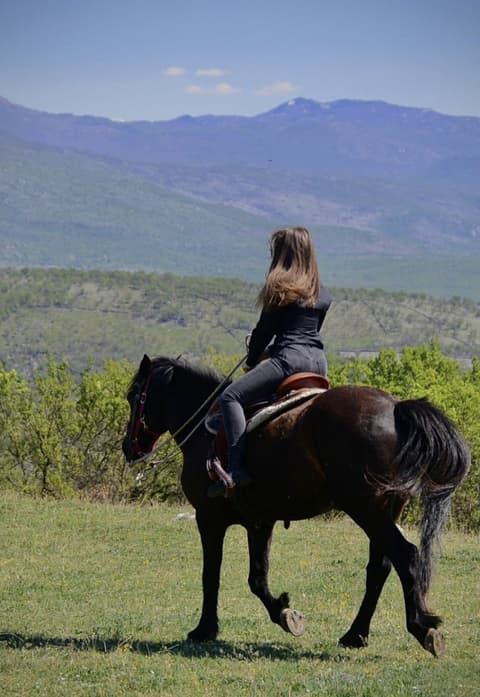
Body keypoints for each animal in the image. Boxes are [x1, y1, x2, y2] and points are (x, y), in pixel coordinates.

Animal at [122, 354, 470, 657]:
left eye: (134, 395)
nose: (129, 447)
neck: (206, 432)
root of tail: (396, 408)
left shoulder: (209, 519)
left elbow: (212, 574)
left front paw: (204, 630)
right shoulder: (259, 522)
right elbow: (257, 577)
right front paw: (285, 613)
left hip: (366, 509)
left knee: (405, 556)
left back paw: (423, 629)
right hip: (383, 510)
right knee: (380, 567)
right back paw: (355, 634)